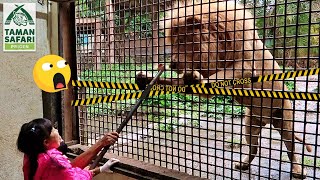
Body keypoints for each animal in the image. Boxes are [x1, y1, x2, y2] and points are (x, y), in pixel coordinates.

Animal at [136, 0, 312, 178]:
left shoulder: (247, 66)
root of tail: (267, 120)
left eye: (181, 41)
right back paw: (243, 164)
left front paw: (195, 80)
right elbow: (176, 81)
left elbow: (219, 75)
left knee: (291, 149)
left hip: (285, 121)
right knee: (254, 148)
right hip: (250, 126)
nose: (171, 64)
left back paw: (298, 170)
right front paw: (145, 78)